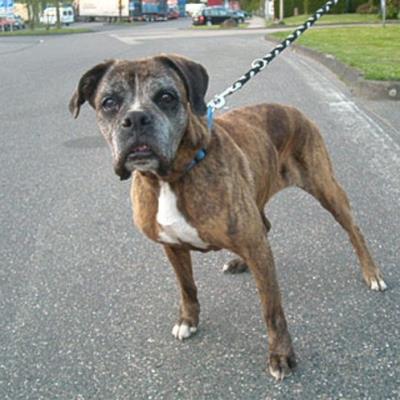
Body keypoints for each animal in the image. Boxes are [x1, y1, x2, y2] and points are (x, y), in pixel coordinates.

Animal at [69, 54, 386, 380]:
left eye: (167, 97)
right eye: (109, 102)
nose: (136, 119)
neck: (171, 177)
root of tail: (291, 109)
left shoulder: (256, 248)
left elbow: (272, 310)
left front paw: (281, 355)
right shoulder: (173, 247)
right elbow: (187, 287)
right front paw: (188, 321)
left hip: (325, 188)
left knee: (353, 230)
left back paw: (371, 273)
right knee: (266, 225)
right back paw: (238, 262)